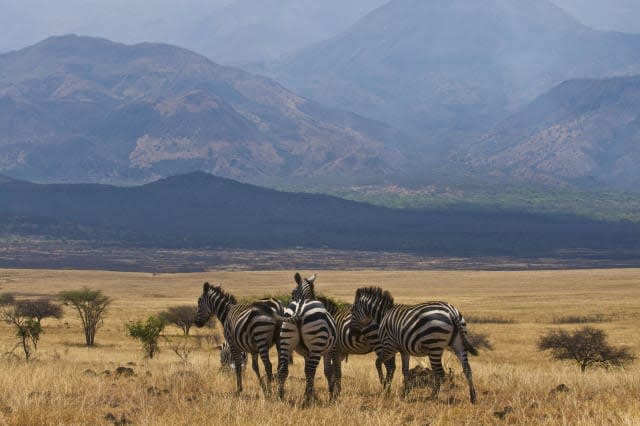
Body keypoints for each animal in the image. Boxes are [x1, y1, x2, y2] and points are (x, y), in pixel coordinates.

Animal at [278, 274, 340, 404]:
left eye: (292, 293)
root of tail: (299, 309)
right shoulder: (328, 351)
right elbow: (327, 371)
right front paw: (331, 395)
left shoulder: (307, 353)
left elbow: (307, 372)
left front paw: (313, 393)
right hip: (317, 343)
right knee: (311, 370)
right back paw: (307, 399)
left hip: (286, 341)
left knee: (283, 369)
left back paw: (280, 396)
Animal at [348, 286, 478, 402]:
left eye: (353, 310)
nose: (352, 332)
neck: (383, 315)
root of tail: (451, 311)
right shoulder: (404, 350)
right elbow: (405, 371)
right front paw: (405, 392)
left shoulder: (389, 345)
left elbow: (378, 362)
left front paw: (383, 383)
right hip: (459, 344)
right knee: (467, 369)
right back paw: (473, 397)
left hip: (434, 345)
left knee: (440, 373)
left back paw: (433, 397)